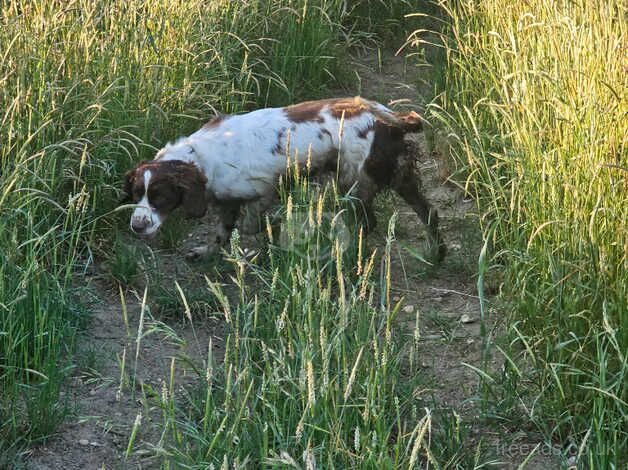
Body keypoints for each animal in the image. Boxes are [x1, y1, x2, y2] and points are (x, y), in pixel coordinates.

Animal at [122, 96, 446, 260]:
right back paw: (437, 253)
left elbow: (251, 226)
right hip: (397, 176)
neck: (200, 157)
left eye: (160, 197)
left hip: (354, 180)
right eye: (137, 193)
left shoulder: (262, 190)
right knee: (429, 213)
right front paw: (207, 252)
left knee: (369, 222)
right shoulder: (228, 201)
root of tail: (387, 118)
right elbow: (222, 232)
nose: (136, 226)